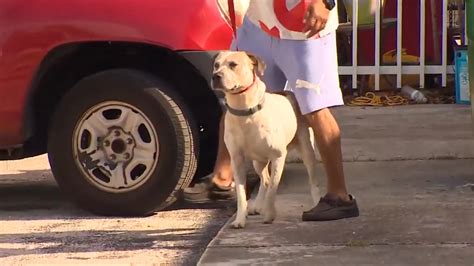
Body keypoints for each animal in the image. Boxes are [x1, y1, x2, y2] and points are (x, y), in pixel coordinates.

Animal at [212, 51, 320, 228]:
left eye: (233, 64)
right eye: (216, 65)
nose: (216, 76)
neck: (245, 111)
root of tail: (288, 93)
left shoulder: (278, 157)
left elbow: (273, 190)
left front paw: (269, 215)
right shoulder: (237, 160)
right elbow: (242, 194)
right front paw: (240, 219)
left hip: (307, 151)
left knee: (312, 180)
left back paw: (317, 202)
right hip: (258, 161)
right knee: (265, 180)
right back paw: (257, 206)